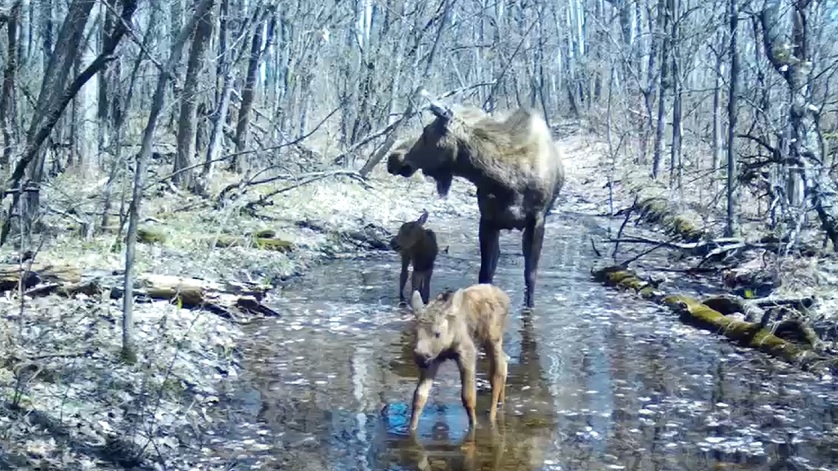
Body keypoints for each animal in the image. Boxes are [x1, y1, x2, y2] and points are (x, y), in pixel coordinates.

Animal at [390, 91, 568, 310]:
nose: (394, 158)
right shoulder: (487, 220)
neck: (507, 181)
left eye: (426, 131)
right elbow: (484, 273)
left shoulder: (537, 220)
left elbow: (530, 276)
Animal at [408, 282, 512, 434]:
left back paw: (492, 415)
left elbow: (468, 396)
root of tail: (505, 296)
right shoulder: (433, 360)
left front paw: (473, 425)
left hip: (493, 337)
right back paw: (501, 403)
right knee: (503, 362)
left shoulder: (467, 352)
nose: (420, 356)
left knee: (497, 373)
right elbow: (419, 397)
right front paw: (411, 428)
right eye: (415, 332)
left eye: (437, 333)